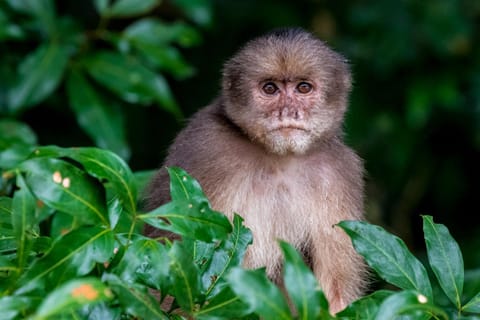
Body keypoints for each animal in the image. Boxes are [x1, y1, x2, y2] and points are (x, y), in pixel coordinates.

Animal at [144, 27, 366, 312]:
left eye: (303, 88)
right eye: (270, 88)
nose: (288, 112)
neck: (279, 160)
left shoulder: (338, 171)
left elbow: (336, 295)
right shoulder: (204, 148)